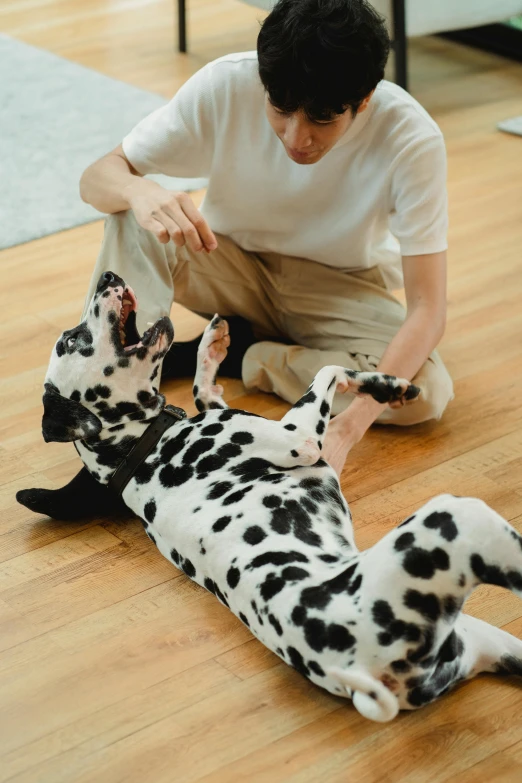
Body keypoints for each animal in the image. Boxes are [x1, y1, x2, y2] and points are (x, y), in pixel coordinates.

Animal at [39, 270, 520, 724]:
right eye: (71, 340)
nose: (108, 276)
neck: (141, 449)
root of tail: (359, 674)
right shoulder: (299, 438)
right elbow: (328, 371)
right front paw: (384, 385)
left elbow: (206, 389)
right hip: (460, 517)